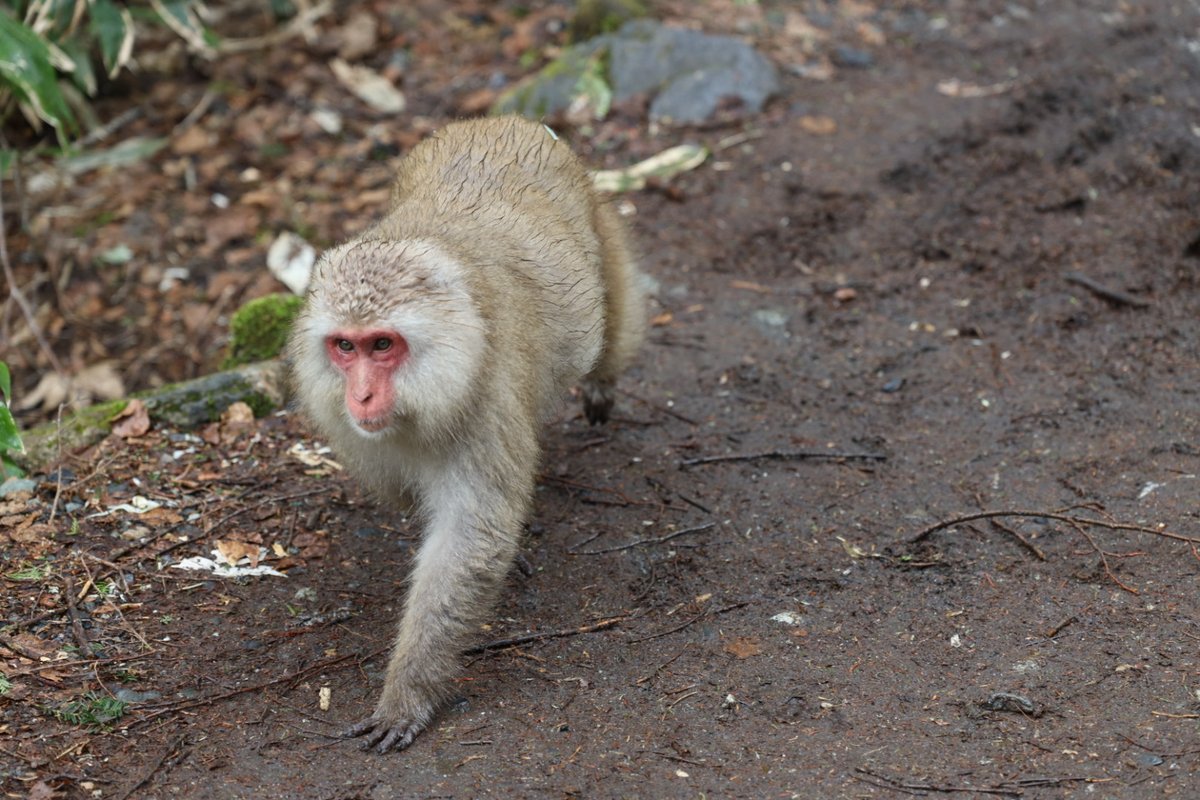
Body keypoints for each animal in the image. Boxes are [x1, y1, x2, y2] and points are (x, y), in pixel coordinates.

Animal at [285, 115, 648, 753]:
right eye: (345, 346)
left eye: (383, 344)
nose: (361, 395)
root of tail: (506, 120)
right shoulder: (343, 421)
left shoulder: (487, 399)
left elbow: (470, 538)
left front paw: (408, 694)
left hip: (595, 213)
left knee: (612, 312)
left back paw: (602, 380)